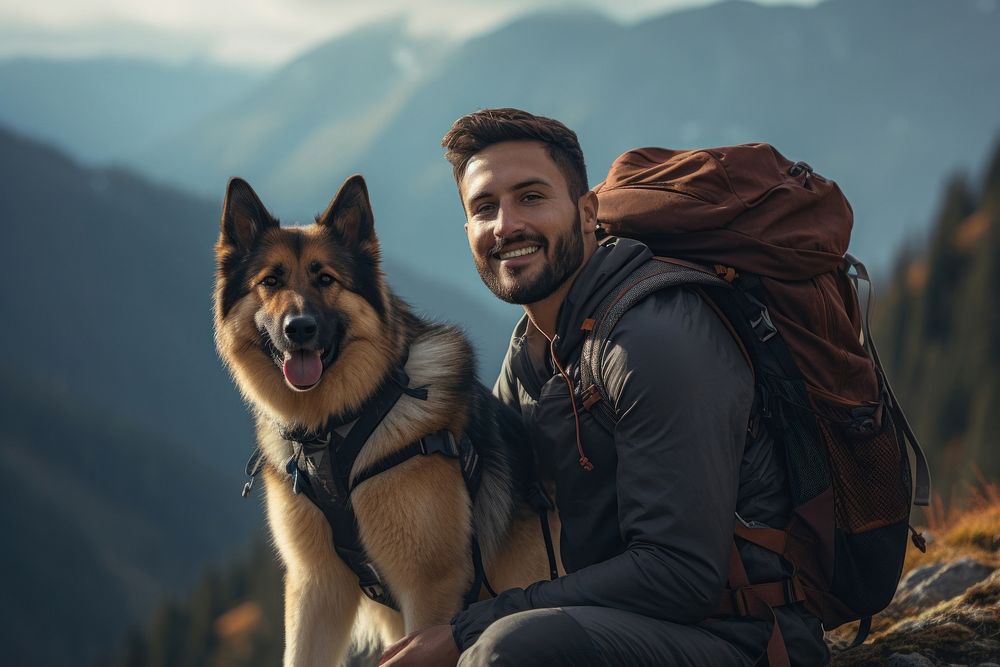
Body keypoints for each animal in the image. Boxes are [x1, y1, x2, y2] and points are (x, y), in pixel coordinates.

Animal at [215, 175, 560, 664]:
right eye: (270, 281)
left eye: (325, 278)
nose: (298, 328)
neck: (334, 430)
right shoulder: (316, 588)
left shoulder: (430, 591)